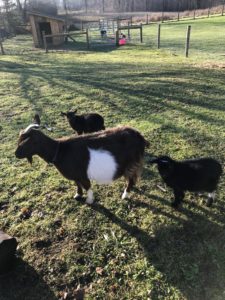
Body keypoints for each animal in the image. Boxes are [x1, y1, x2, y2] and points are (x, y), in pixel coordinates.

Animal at [15, 123, 149, 204]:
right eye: (19, 140)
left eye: (26, 142)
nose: (16, 154)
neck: (60, 150)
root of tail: (139, 136)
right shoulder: (75, 175)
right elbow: (77, 184)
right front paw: (77, 195)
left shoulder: (82, 175)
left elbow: (87, 186)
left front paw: (89, 200)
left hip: (132, 163)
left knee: (131, 179)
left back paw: (125, 195)